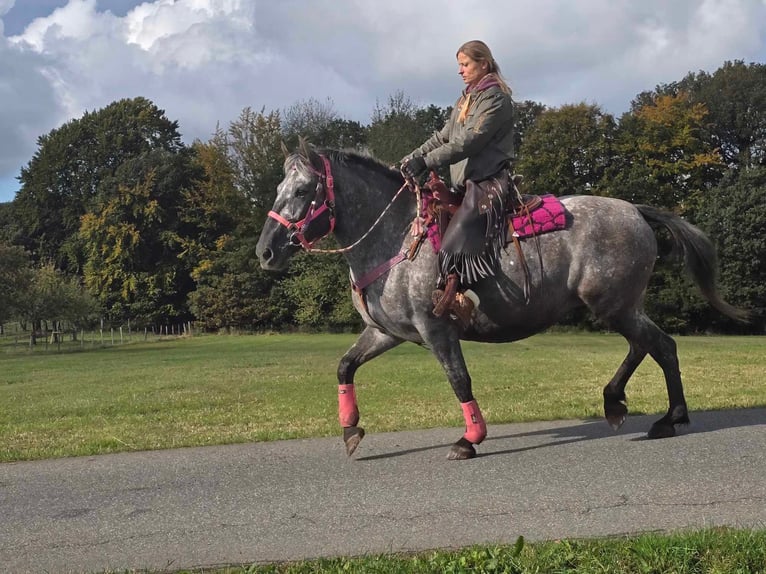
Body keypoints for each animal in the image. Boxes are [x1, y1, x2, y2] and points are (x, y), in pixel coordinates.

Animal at [255, 142, 748, 462]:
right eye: (280, 188)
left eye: (302, 191)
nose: (266, 251)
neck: (395, 238)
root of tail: (635, 211)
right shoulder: (386, 332)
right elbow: (345, 366)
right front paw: (350, 428)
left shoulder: (437, 330)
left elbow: (460, 381)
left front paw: (470, 438)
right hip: (620, 306)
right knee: (646, 345)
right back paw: (617, 404)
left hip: (614, 305)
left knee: (661, 346)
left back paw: (670, 418)